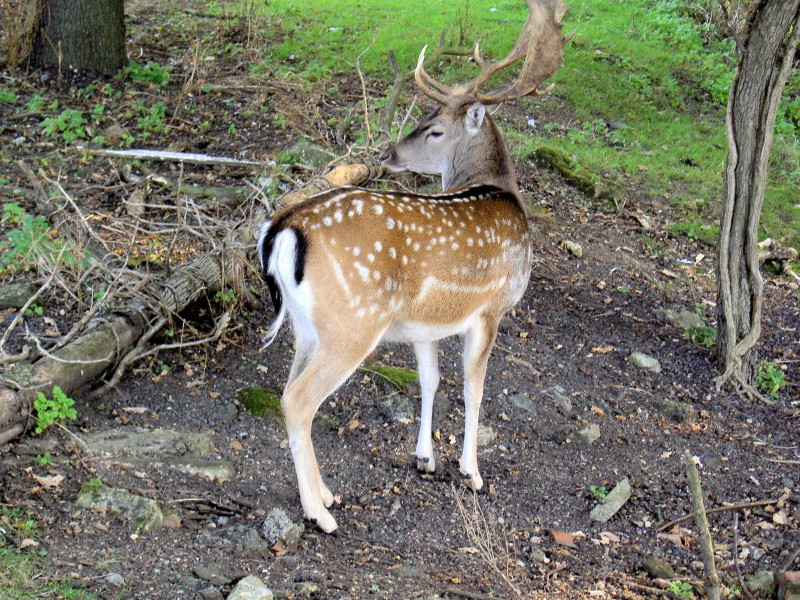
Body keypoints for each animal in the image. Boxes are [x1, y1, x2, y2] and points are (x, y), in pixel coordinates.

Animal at [258, 0, 568, 536]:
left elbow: (431, 380)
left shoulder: (426, 324)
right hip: (352, 323)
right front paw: (471, 471)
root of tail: (284, 229)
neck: (499, 191)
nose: (388, 153)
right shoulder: (492, 309)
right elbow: (474, 387)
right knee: (298, 401)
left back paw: (326, 493)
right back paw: (320, 514)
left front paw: (425, 458)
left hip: (306, 326)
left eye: (434, 126)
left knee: (287, 392)